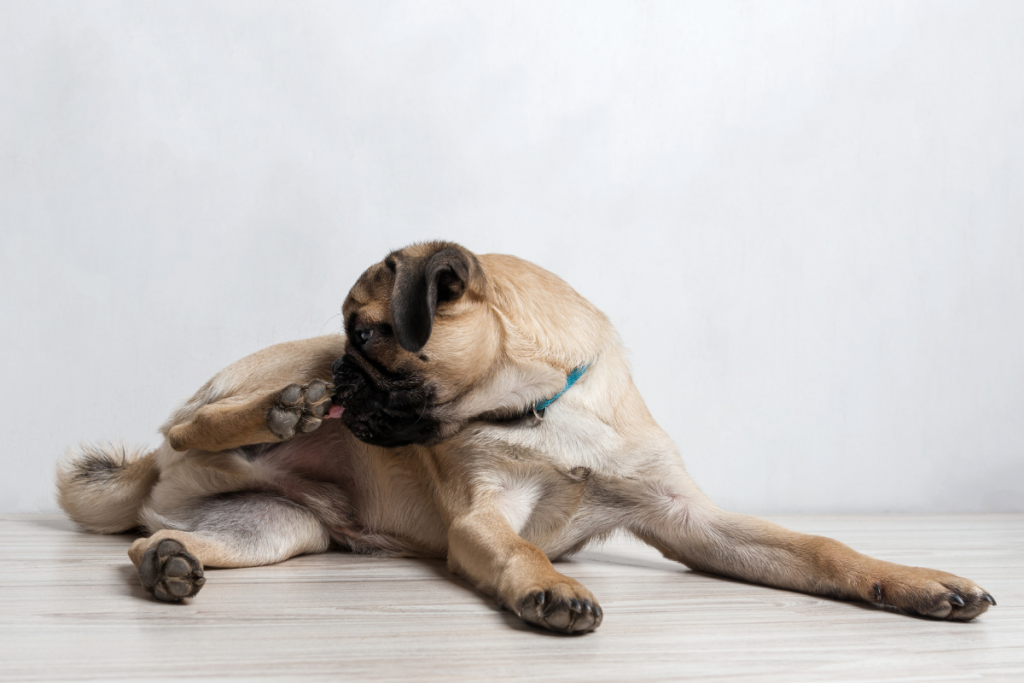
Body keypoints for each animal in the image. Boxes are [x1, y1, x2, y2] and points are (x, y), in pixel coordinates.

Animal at [56, 241, 991, 634]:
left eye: (370, 335)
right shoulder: (484, 517)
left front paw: (916, 581)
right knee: (185, 422)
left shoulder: (691, 521)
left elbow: (824, 548)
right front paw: (549, 585)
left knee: (159, 539)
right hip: (270, 378)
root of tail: (151, 480)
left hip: (276, 527)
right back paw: (282, 411)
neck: (542, 406)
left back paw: (168, 561)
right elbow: (517, 547)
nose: (349, 379)